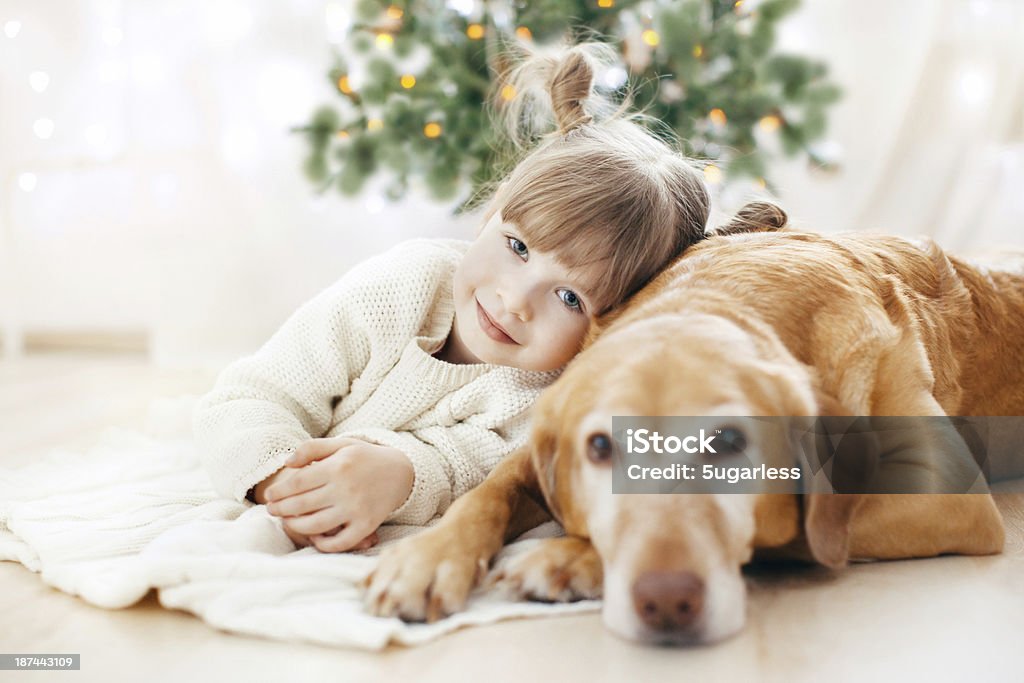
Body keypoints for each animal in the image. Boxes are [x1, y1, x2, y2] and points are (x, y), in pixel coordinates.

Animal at [364, 208, 1019, 647]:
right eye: (599, 447)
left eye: (728, 443)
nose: (666, 600)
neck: (721, 298)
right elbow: (488, 492)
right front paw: (428, 557)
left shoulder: (945, 491)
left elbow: (793, 532)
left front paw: (571, 559)